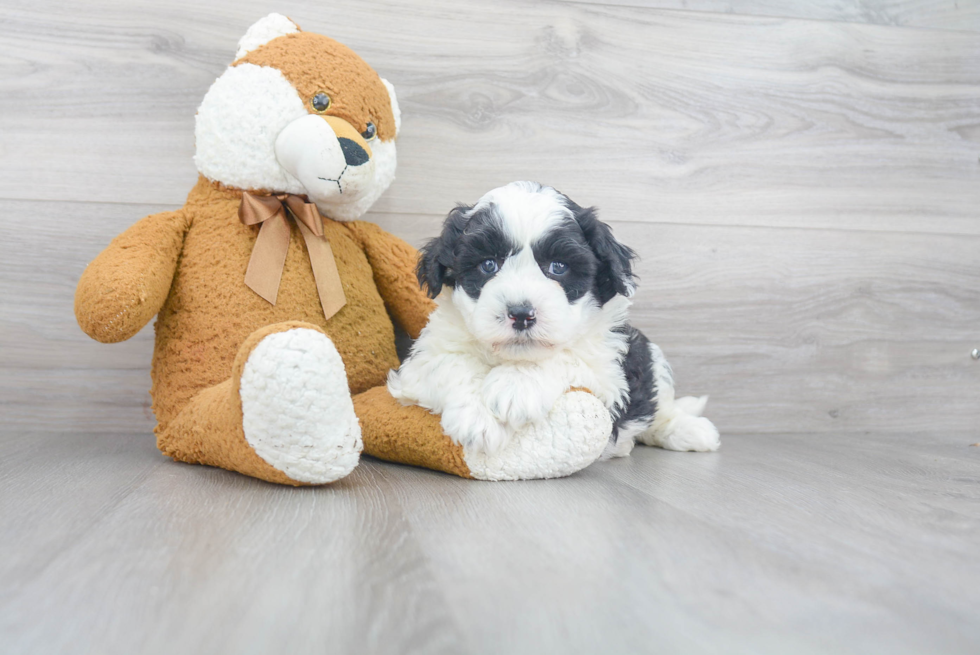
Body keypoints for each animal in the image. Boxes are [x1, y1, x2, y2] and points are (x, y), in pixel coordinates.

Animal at [388, 179, 720, 456]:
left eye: (558, 267)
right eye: (488, 265)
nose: (521, 314)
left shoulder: (608, 370)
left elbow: (568, 356)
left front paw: (515, 386)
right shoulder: (420, 363)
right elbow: (451, 364)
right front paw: (479, 419)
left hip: (649, 356)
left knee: (659, 408)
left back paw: (689, 431)